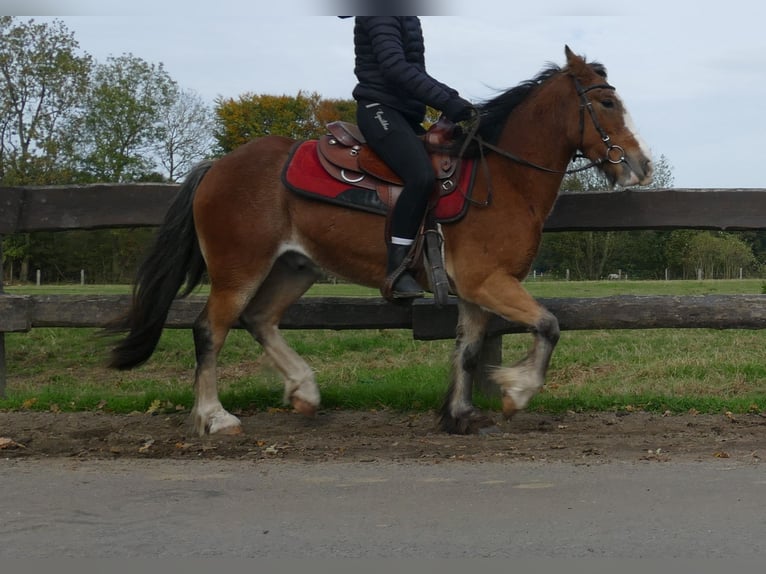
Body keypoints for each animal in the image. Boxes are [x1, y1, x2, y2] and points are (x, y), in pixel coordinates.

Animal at [108, 47, 656, 436]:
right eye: (607, 102)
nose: (640, 164)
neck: (500, 176)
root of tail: (218, 166)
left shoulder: (477, 289)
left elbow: (469, 349)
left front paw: (459, 414)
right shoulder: (488, 281)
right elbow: (548, 325)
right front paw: (515, 391)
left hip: (295, 267)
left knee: (259, 319)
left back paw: (304, 391)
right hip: (237, 269)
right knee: (209, 331)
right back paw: (214, 417)